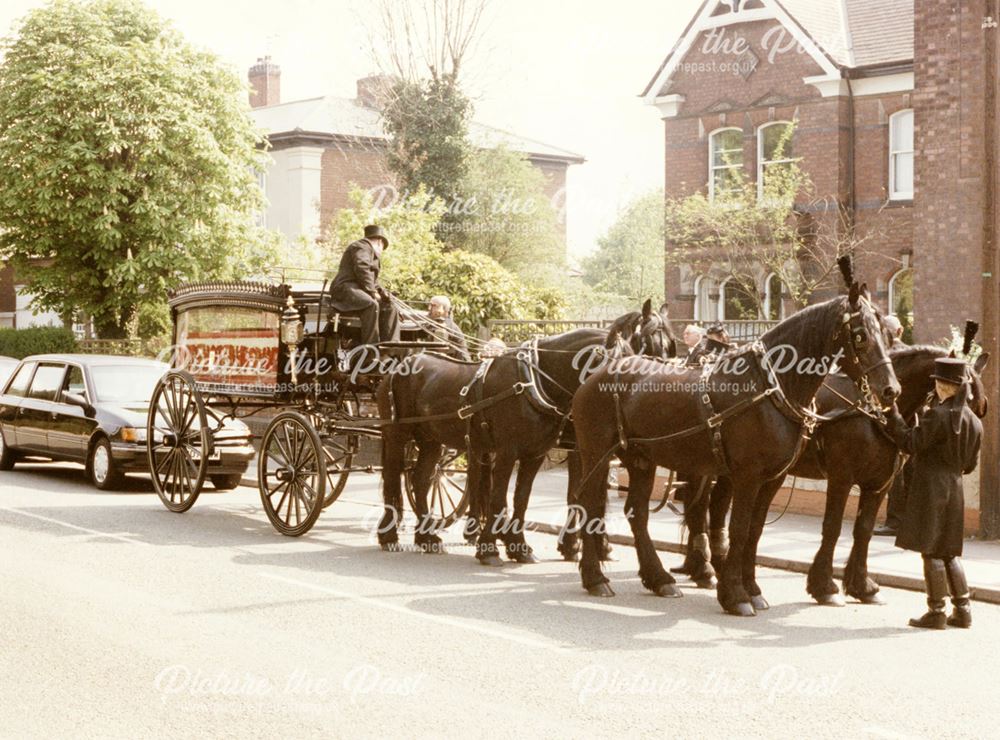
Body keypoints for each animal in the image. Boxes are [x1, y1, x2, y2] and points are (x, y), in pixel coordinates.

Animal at [572, 272, 900, 612]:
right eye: (860, 335)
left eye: (887, 335)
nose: (890, 390)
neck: (768, 386)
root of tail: (600, 373)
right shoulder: (747, 476)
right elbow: (739, 528)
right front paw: (735, 594)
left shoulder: (772, 478)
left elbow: (754, 530)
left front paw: (752, 588)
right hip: (596, 456)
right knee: (588, 507)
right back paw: (595, 577)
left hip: (641, 460)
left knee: (637, 513)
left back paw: (659, 578)